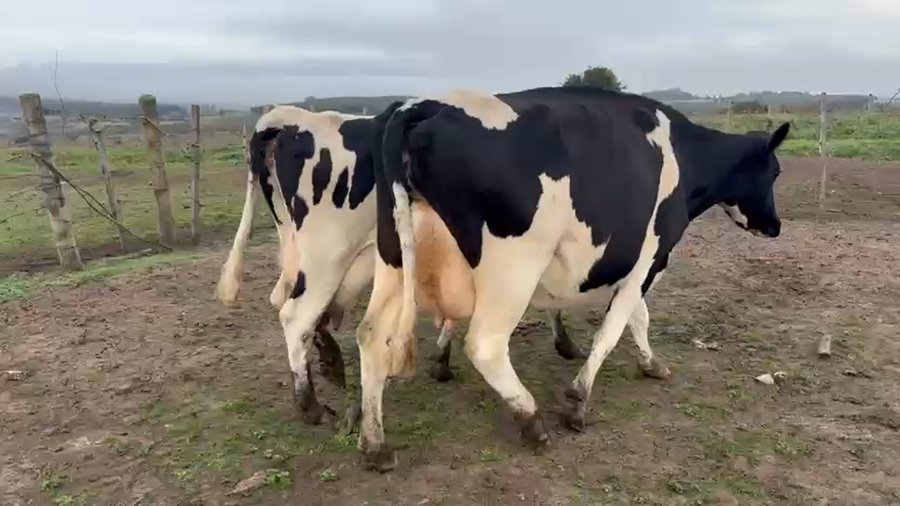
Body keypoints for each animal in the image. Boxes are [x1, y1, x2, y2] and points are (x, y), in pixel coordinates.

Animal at [213, 105, 590, 424]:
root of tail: (291, 120)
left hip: (312, 246)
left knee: (291, 299)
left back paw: (330, 363)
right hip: (328, 254)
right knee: (295, 314)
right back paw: (312, 406)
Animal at [355, 87, 790, 471]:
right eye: (775, 171)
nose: (775, 225)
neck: (684, 158)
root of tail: (421, 105)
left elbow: (635, 318)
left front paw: (649, 363)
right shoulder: (649, 259)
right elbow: (615, 329)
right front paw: (579, 401)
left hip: (394, 254)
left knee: (372, 335)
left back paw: (375, 445)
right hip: (515, 266)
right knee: (485, 344)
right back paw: (531, 420)